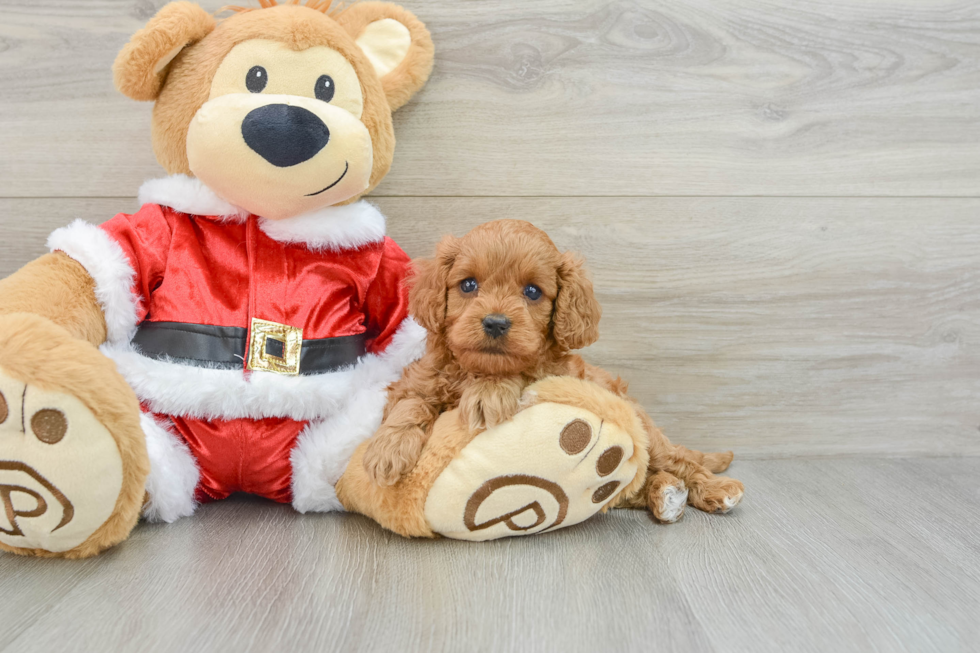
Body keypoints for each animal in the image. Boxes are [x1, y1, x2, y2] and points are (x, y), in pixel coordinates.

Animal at [364, 219, 748, 520]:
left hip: (647, 431)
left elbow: (521, 371)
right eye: (469, 284)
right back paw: (665, 494)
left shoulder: (551, 375)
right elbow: (409, 404)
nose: (495, 323)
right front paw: (387, 449)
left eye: (533, 291)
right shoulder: (417, 380)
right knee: (634, 486)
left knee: (677, 460)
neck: (475, 368)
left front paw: (489, 391)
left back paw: (714, 488)